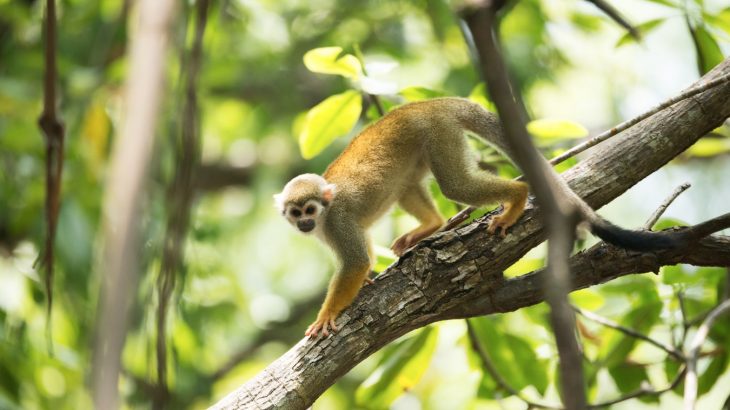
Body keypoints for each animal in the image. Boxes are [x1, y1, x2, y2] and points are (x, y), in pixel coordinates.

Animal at [278, 97, 684, 338]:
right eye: (295, 213)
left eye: (309, 210)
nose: (303, 224)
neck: (324, 217)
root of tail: (426, 103)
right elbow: (361, 257)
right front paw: (364, 284)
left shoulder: (337, 221)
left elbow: (356, 261)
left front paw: (327, 314)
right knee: (409, 184)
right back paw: (432, 225)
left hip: (439, 133)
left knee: (455, 185)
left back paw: (516, 199)